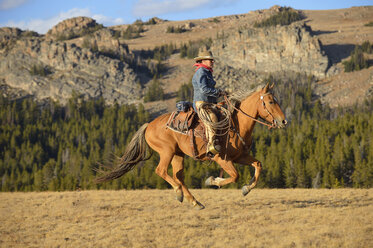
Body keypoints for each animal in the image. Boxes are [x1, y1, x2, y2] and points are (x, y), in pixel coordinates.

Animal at [94, 83, 286, 209]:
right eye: (270, 102)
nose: (284, 121)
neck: (235, 124)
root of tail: (148, 125)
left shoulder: (239, 156)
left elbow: (258, 165)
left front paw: (246, 189)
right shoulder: (221, 159)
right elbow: (235, 176)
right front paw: (212, 181)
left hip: (178, 154)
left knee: (178, 176)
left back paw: (194, 201)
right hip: (167, 151)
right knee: (161, 171)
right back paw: (179, 193)